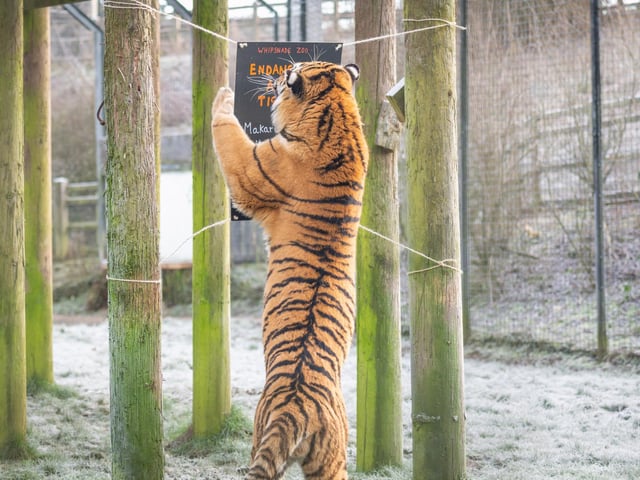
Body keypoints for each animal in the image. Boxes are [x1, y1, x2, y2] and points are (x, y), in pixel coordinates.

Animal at [211, 61, 368, 479]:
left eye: (290, 73)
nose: (279, 72)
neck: (338, 113)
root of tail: (296, 407)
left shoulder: (252, 168)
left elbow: (227, 132)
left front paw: (223, 95)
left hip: (259, 433)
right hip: (332, 463)